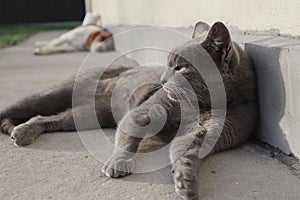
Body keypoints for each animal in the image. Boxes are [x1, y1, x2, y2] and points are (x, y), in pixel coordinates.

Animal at [0, 21, 258, 200]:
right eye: (167, 65)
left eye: (180, 67)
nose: (162, 80)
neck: (203, 105)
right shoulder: (144, 112)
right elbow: (129, 136)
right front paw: (118, 163)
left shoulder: (209, 130)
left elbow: (186, 150)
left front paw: (186, 182)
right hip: (53, 94)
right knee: (23, 108)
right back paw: (17, 130)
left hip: (87, 115)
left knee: (47, 118)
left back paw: (23, 132)